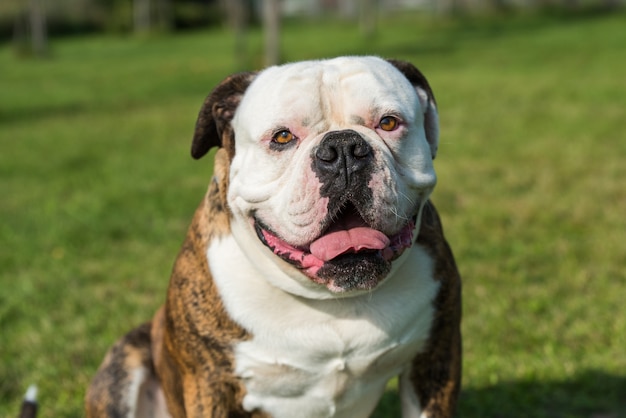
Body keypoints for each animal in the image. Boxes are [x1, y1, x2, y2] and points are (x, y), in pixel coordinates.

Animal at [85, 56, 460, 418]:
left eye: (388, 123)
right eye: (282, 137)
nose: (343, 149)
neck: (331, 300)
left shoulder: (435, 360)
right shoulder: (211, 385)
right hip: (126, 362)